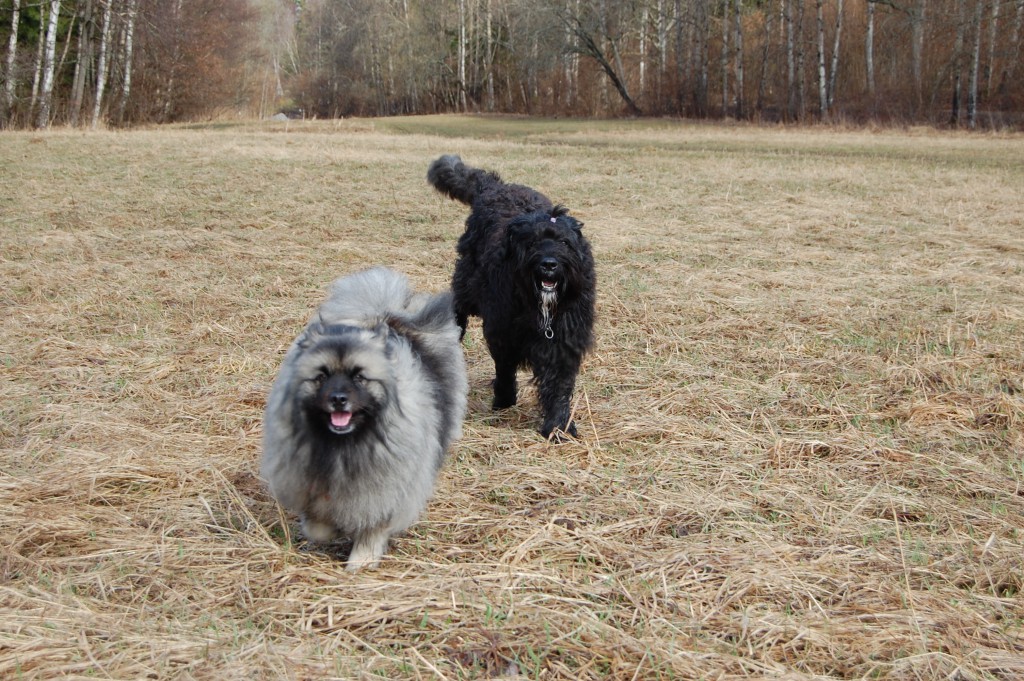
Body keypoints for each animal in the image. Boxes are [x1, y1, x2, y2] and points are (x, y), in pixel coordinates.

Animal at [260, 266, 468, 569]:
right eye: (321, 377)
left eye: (359, 377)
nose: (338, 399)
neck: (345, 446)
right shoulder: (311, 487)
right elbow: (318, 524)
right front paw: (330, 531)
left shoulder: (385, 493)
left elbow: (373, 528)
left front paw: (360, 562)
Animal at [428, 153, 598, 438]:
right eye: (533, 242)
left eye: (565, 243)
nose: (549, 264)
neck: (540, 307)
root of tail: (494, 187)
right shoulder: (502, 332)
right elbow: (505, 369)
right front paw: (504, 401)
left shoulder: (564, 340)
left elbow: (559, 386)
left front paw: (559, 425)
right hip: (467, 281)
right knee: (457, 306)